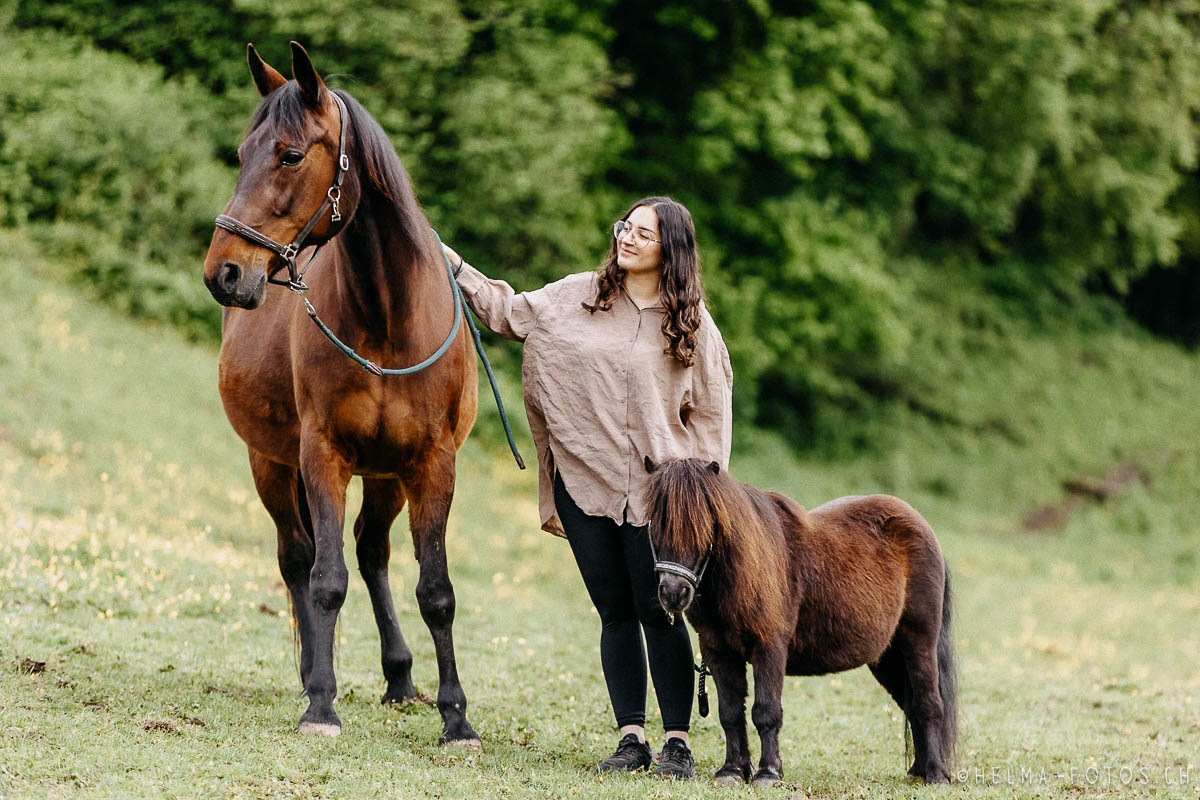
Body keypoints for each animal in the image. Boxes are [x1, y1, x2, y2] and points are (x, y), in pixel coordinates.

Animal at [201, 42, 477, 743]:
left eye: (290, 155)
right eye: (242, 153)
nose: (225, 273)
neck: (386, 320)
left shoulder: (431, 464)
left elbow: (436, 590)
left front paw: (456, 717)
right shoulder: (321, 455)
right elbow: (326, 579)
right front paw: (322, 704)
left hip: (386, 477)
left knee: (374, 552)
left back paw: (400, 675)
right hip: (271, 465)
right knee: (298, 557)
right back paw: (310, 675)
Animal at [648, 460, 955, 786]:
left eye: (704, 525)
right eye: (655, 523)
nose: (673, 593)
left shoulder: (769, 648)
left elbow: (766, 712)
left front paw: (768, 772)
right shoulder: (718, 652)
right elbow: (730, 713)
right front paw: (732, 771)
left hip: (919, 643)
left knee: (928, 704)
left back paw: (936, 774)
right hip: (887, 657)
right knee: (910, 705)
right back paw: (919, 770)